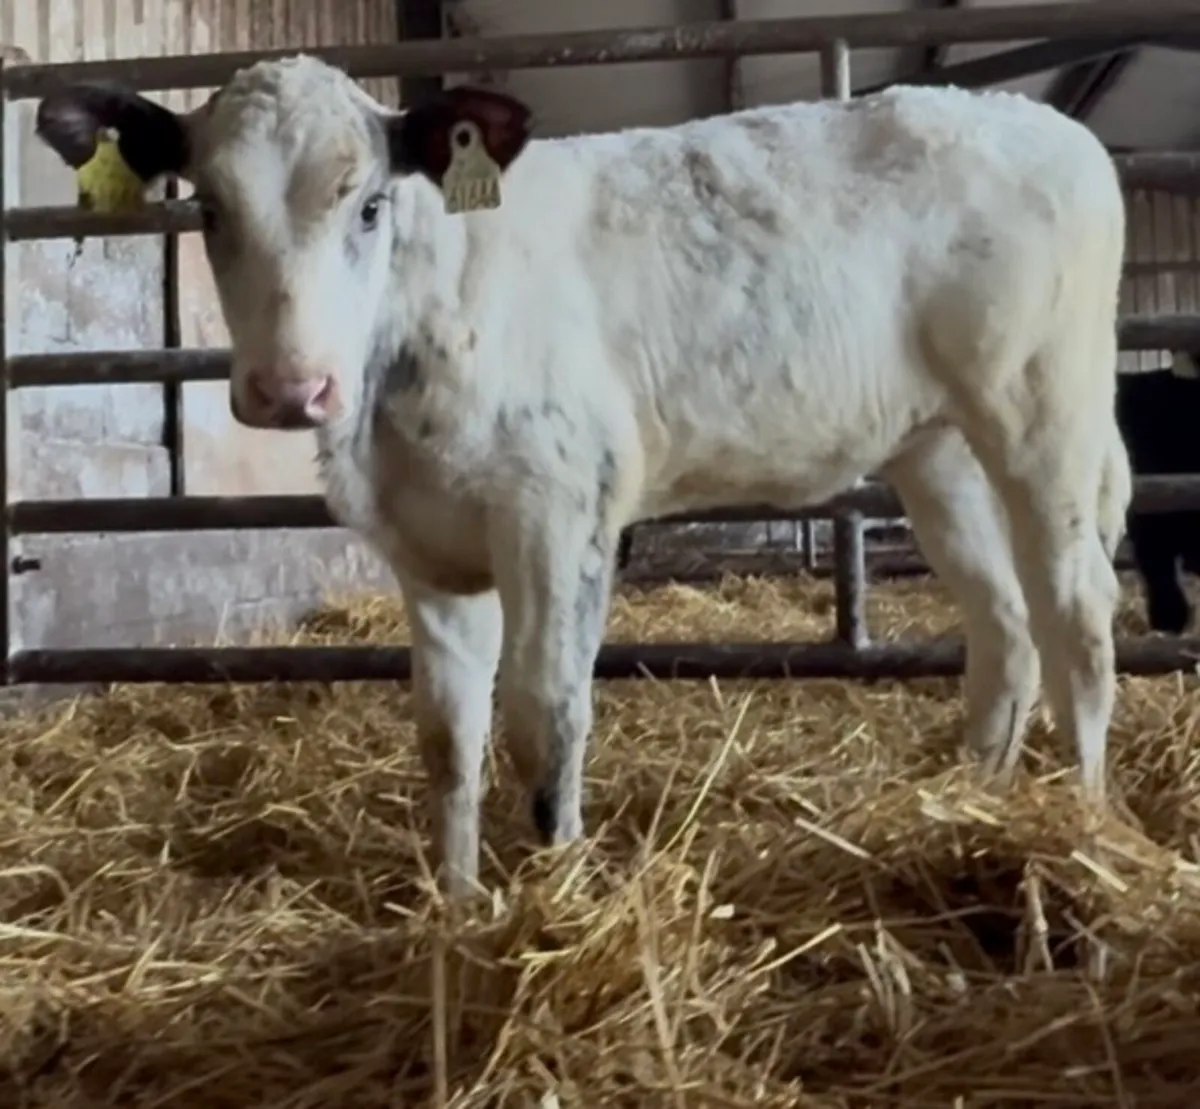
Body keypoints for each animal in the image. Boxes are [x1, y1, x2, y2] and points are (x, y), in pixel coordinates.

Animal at [35, 56, 1132, 897]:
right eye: (209, 209)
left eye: (371, 204)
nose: (289, 387)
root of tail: (1044, 125)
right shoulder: (426, 547)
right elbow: (448, 732)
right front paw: (456, 901)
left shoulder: (557, 508)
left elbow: (543, 718)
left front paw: (553, 895)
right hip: (936, 448)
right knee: (1004, 625)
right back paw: (974, 803)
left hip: (1042, 408)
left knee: (1076, 613)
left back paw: (1078, 824)